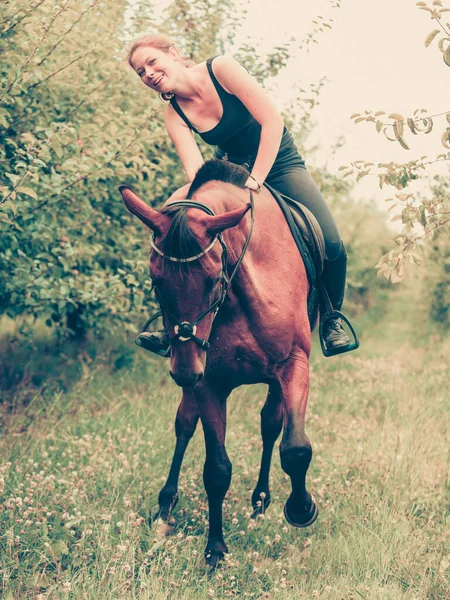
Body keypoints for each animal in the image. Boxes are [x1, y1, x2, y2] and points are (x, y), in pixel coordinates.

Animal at [118, 159, 318, 568]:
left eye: (212, 280)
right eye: (155, 280)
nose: (184, 371)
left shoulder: (293, 366)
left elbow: (294, 448)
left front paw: (301, 508)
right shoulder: (209, 383)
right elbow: (216, 470)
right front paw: (215, 551)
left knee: (271, 426)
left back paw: (260, 502)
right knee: (184, 425)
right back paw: (165, 509)